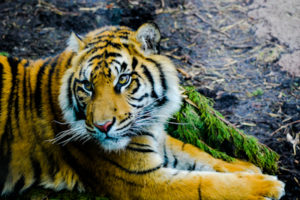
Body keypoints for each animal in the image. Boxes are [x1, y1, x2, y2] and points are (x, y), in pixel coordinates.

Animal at [0, 22, 284, 199]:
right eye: (88, 86)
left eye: (124, 80)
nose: (103, 126)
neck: (146, 122)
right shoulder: (142, 180)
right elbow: (206, 184)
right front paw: (266, 185)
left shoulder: (156, 138)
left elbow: (197, 153)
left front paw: (247, 167)